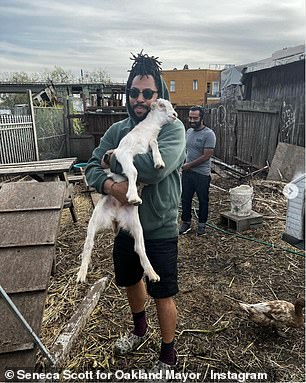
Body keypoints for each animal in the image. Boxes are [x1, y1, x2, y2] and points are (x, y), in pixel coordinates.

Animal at [76, 100, 177, 284]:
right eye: (161, 105)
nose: (175, 115)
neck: (147, 130)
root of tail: (115, 217)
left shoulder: (150, 141)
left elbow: (155, 144)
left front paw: (159, 163)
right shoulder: (124, 154)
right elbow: (134, 172)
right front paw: (133, 196)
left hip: (136, 225)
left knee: (139, 248)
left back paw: (152, 274)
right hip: (94, 220)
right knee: (88, 244)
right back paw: (81, 274)